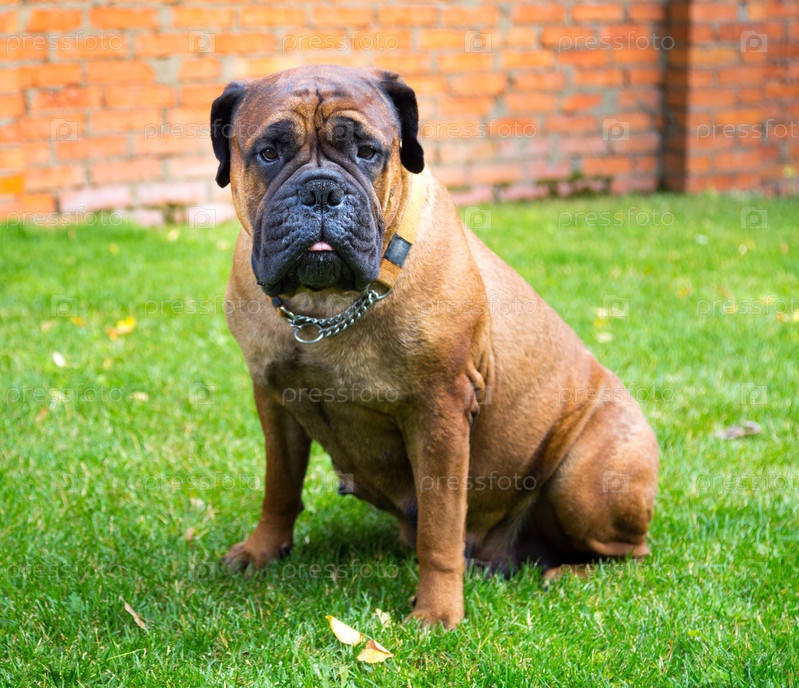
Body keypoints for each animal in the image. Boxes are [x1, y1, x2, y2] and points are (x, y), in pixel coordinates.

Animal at [210, 65, 658, 629]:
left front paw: (437, 611)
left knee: (630, 554)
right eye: (268, 153)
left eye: (368, 151)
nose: (321, 192)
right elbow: (280, 487)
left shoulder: (439, 413)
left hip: (586, 478)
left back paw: (566, 575)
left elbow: (441, 528)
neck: (326, 307)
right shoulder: (273, 399)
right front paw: (262, 550)